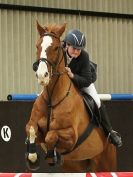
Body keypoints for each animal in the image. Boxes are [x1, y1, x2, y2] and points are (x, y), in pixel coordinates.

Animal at [25, 21, 116, 172]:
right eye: (38, 46)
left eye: (56, 48)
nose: (42, 76)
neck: (52, 99)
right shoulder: (34, 125)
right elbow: (31, 129)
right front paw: (32, 158)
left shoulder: (71, 136)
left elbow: (51, 135)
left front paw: (52, 155)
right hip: (74, 166)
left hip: (105, 163)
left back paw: (115, 137)